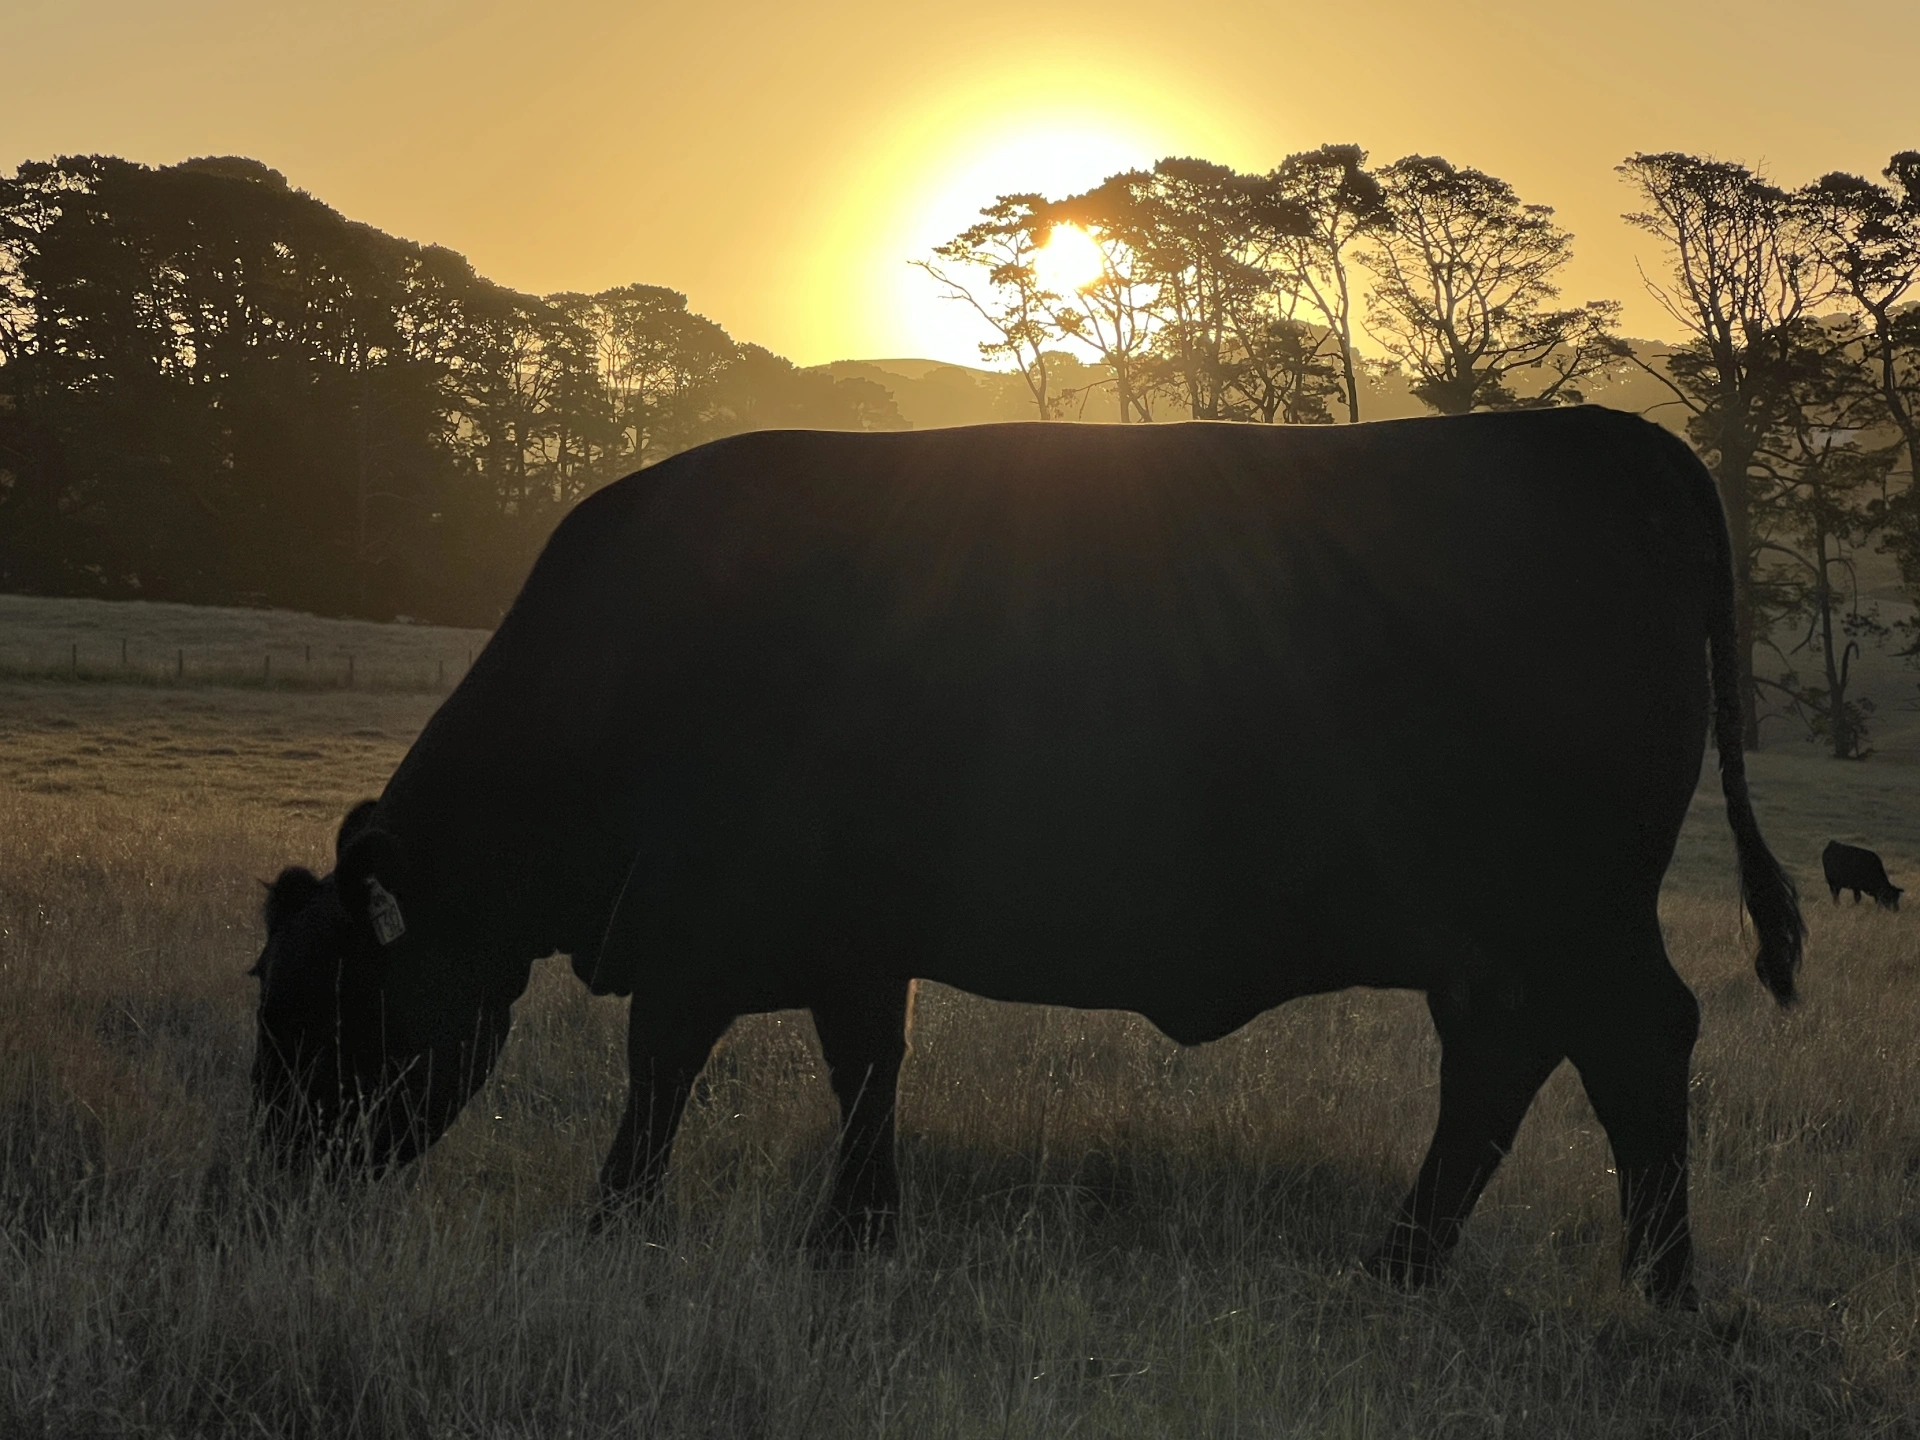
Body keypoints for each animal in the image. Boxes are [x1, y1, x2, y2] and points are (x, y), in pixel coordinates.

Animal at [249, 407, 1803, 1308]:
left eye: (322, 1002)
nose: (263, 1189)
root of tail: (1614, 436)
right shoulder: (852, 936)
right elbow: (866, 1073)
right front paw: (855, 1237)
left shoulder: (705, 926)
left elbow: (662, 1074)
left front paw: (610, 1227)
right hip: (1500, 937)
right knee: (1514, 1065)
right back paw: (1425, 1269)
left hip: (1566, 913)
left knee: (1628, 1046)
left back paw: (1647, 1286)